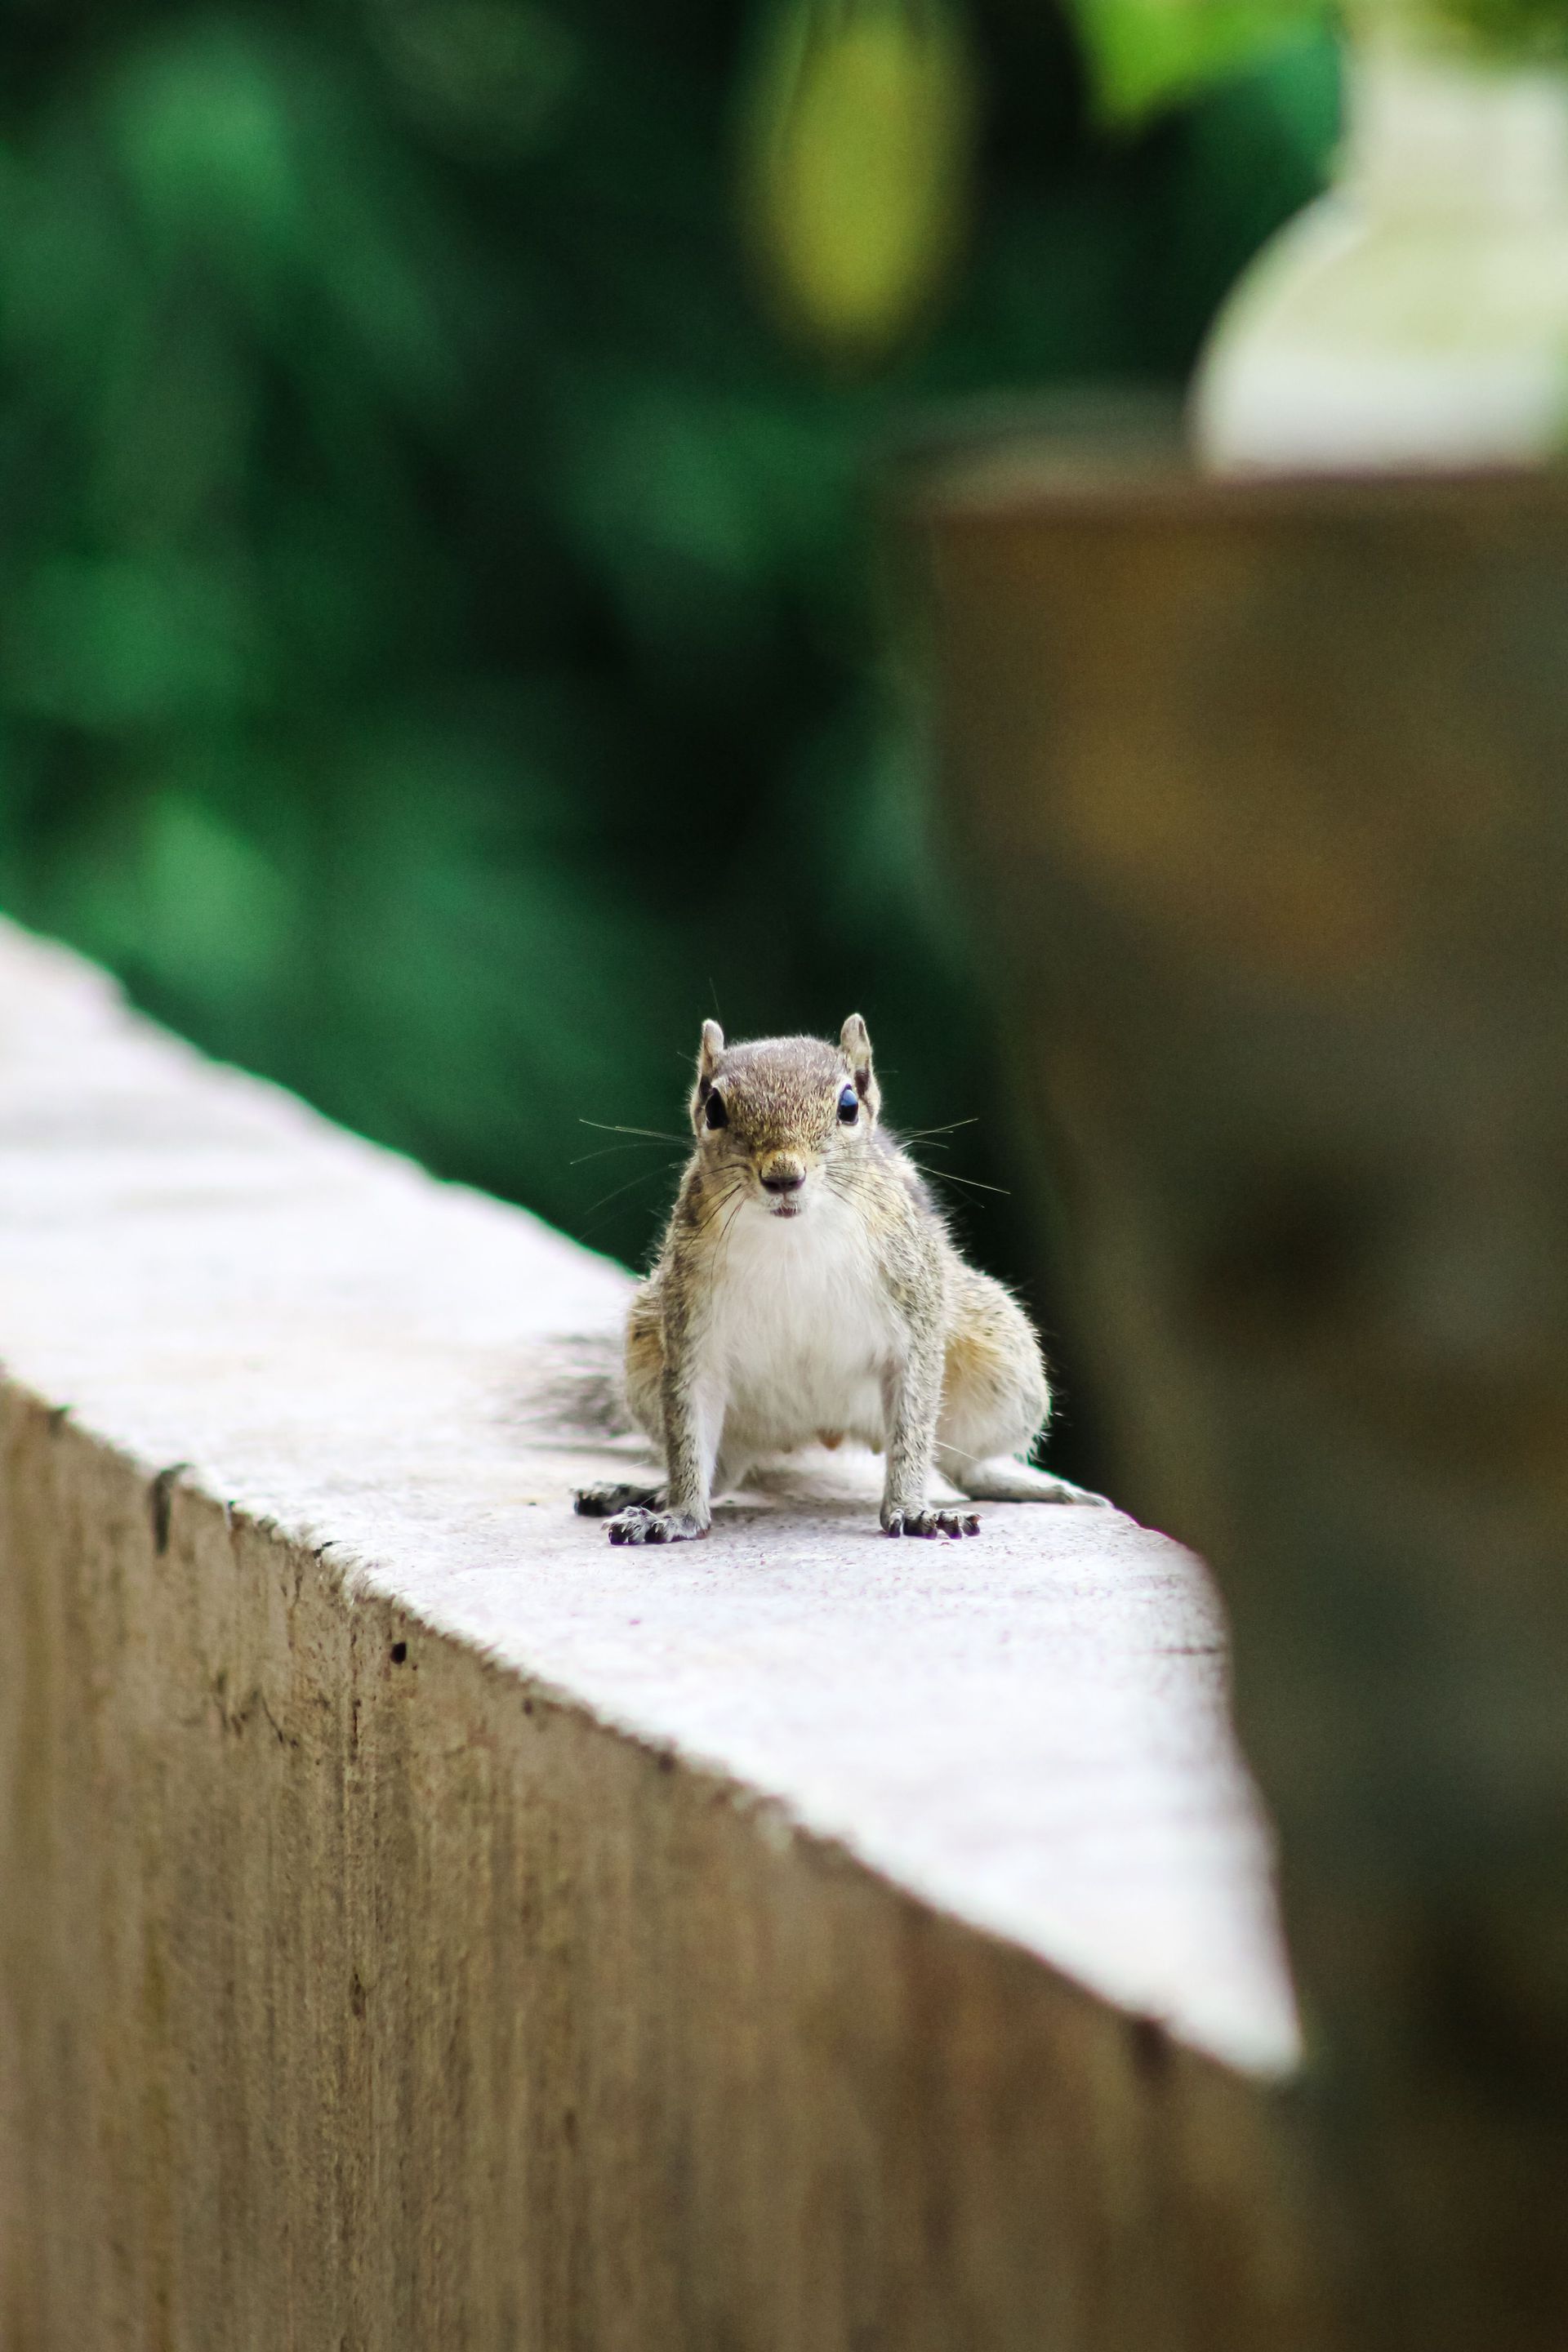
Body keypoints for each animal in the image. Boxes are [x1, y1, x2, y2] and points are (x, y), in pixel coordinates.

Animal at [574, 1015, 1110, 1544]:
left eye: (848, 1106)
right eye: (714, 1108)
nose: (783, 1175)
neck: (793, 1236)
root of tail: (822, 1428)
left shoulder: (914, 1317)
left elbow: (913, 1427)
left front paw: (911, 1509)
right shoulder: (690, 1331)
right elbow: (687, 1431)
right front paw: (680, 1514)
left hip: (1002, 1363)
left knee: (961, 1463)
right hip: (648, 1349)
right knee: (722, 1470)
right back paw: (647, 1493)